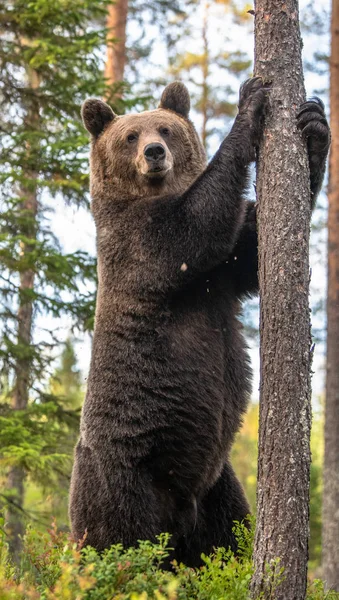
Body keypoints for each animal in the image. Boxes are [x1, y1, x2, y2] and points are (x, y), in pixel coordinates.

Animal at [69, 77, 330, 564]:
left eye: (166, 129)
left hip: (216, 488)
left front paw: (314, 124)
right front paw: (250, 103)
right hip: (123, 475)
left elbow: (251, 248)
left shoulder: (223, 275)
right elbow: (193, 229)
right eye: (130, 136)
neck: (153, 194)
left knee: (229, 535)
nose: (154, 152)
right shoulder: (137, 246)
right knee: (119, 537)